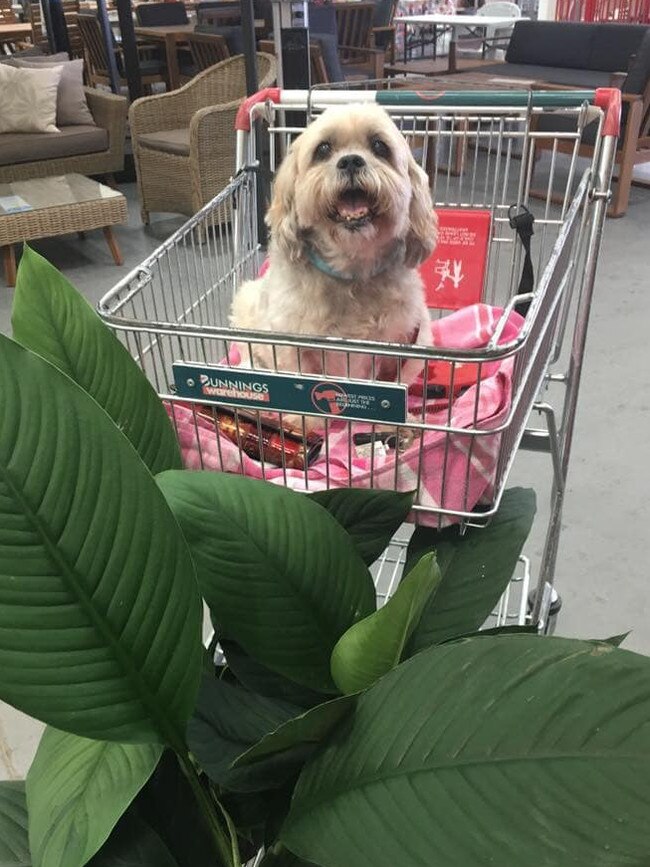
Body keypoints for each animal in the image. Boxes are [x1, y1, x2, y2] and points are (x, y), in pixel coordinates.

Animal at [228, 102, 436, 428]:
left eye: (379, 146)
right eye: (323, 149)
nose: (350, 161)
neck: (351, 271)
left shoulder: (402, 340)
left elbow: (391, 386)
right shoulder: (289, 343)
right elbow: (301, 382)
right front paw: (306, 424)